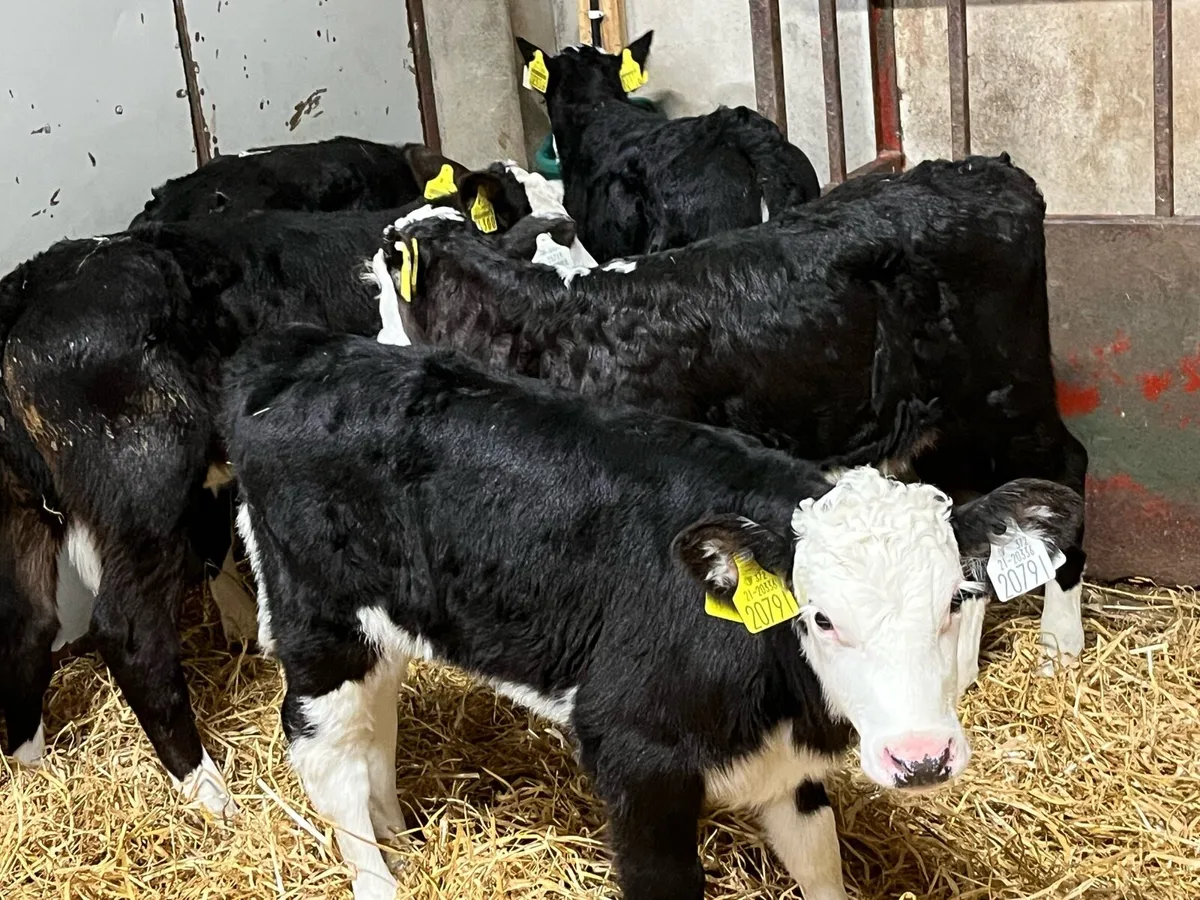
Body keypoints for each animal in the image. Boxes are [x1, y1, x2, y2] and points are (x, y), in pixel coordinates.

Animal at [0, 159, 573, 806]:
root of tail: (36, 282)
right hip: (143, 490)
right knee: (127, 630)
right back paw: (209, 790)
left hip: (24, 505)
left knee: (28, 621)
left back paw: (30, 766)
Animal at [223, 325, 1086, 900]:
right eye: (821, 618)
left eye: (956, 599)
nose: (922, 759)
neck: (777, 691)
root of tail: (306, 355)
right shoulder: (635, 758)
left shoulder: (793, 771)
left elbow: (820, 863)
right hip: (318, 619)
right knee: (326, 752)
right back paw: (380, 876)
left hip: (382, 625)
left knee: (377, 723)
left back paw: (402, 838)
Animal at [369, 154, 1090, 686]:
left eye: (384, 271)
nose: (373, 341)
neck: (551, 327)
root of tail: (991, 169)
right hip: (947, 423)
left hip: (1009, 395)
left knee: (1067, 466)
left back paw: (1060, 640)